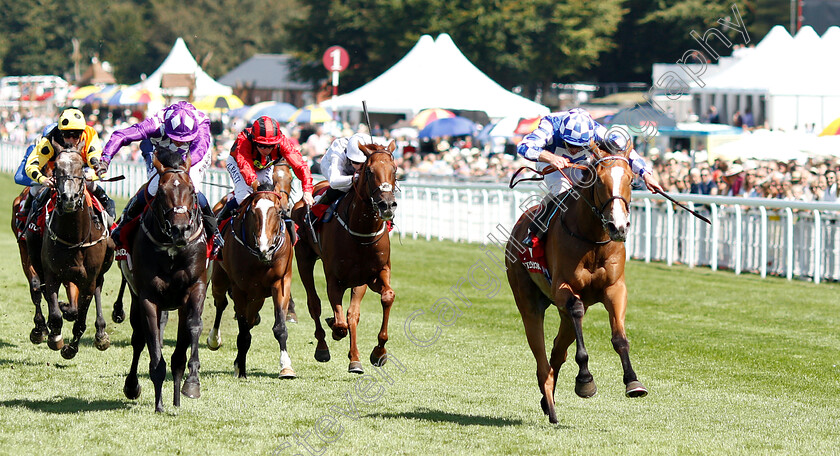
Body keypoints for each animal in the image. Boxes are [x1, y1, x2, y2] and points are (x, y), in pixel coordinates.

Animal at [24, 148, 114, 358]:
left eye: (81, 166)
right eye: (57, 167)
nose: (69, 198)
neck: (75, 237)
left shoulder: (88, 279)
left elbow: (80, 320)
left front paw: (71, 348)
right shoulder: (52, 274)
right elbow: (55, 313)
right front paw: (55, 337)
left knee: (98, 289)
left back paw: (100, 333)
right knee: (38, 290)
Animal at [119, 152, 208, 414]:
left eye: (191, 190)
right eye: (160, 192)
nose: (180, 229)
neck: (172, 249)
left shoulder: (195, 288)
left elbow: (193, 327)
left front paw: (192, 383)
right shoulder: (148, 297)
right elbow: (153, 348)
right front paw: (158, 404)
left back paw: (177, 398)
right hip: (136, 296)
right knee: (139, 339)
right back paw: (133, 386)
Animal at [208, 163, 296, 378]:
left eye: (278, 213)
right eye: (253, 213)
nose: (264, 246)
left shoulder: (280, 282)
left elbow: (279, 327)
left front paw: (286, 366)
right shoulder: (240, 288)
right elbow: (242, 331)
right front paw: (240, 368)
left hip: (257, 296)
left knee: (249, 316)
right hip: (220, 279)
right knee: (221, 303)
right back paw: (214, 340)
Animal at [292, 140, 400, 374]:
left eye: (395, 170)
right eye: (369, 171)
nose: (387, 205)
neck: (360, 229)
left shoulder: (372, 274)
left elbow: (384, 298)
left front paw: (377, 353)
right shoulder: (335, 278)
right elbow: (340, 322)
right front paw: (334, 327)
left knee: (352, 314)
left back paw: (355, 358)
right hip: (304, 258)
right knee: (314, 303)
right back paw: (322, 346)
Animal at [506, 143, 648, 424]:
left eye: (630, 179)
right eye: (600, 181)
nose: (618, 226)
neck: (592, 239)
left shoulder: (615, 289)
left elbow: (620, 338)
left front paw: (633, 382)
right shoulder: (564, 289)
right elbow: (577, 311)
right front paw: (585, 381)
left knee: (556, 351)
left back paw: (546, 400)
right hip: (528, 301)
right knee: (541, 358)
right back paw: (550, 407)